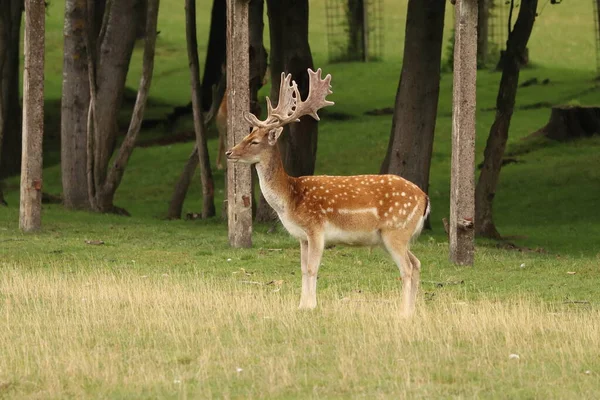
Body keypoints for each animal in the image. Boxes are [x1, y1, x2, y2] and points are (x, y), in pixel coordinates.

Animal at [224, 70, 426, 318]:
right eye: (247, 135)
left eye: (254, 141)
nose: (229, 152)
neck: (290, 200)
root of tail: (424, 198)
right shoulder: (301, 236)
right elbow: (302, 269)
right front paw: (301, 305)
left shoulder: (316, 228)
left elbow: (312, 268)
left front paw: (310, 306)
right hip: (396, 237)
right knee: (416, 263)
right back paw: (412, 311)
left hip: (396, 231)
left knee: (407, 268)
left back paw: (403, 313)